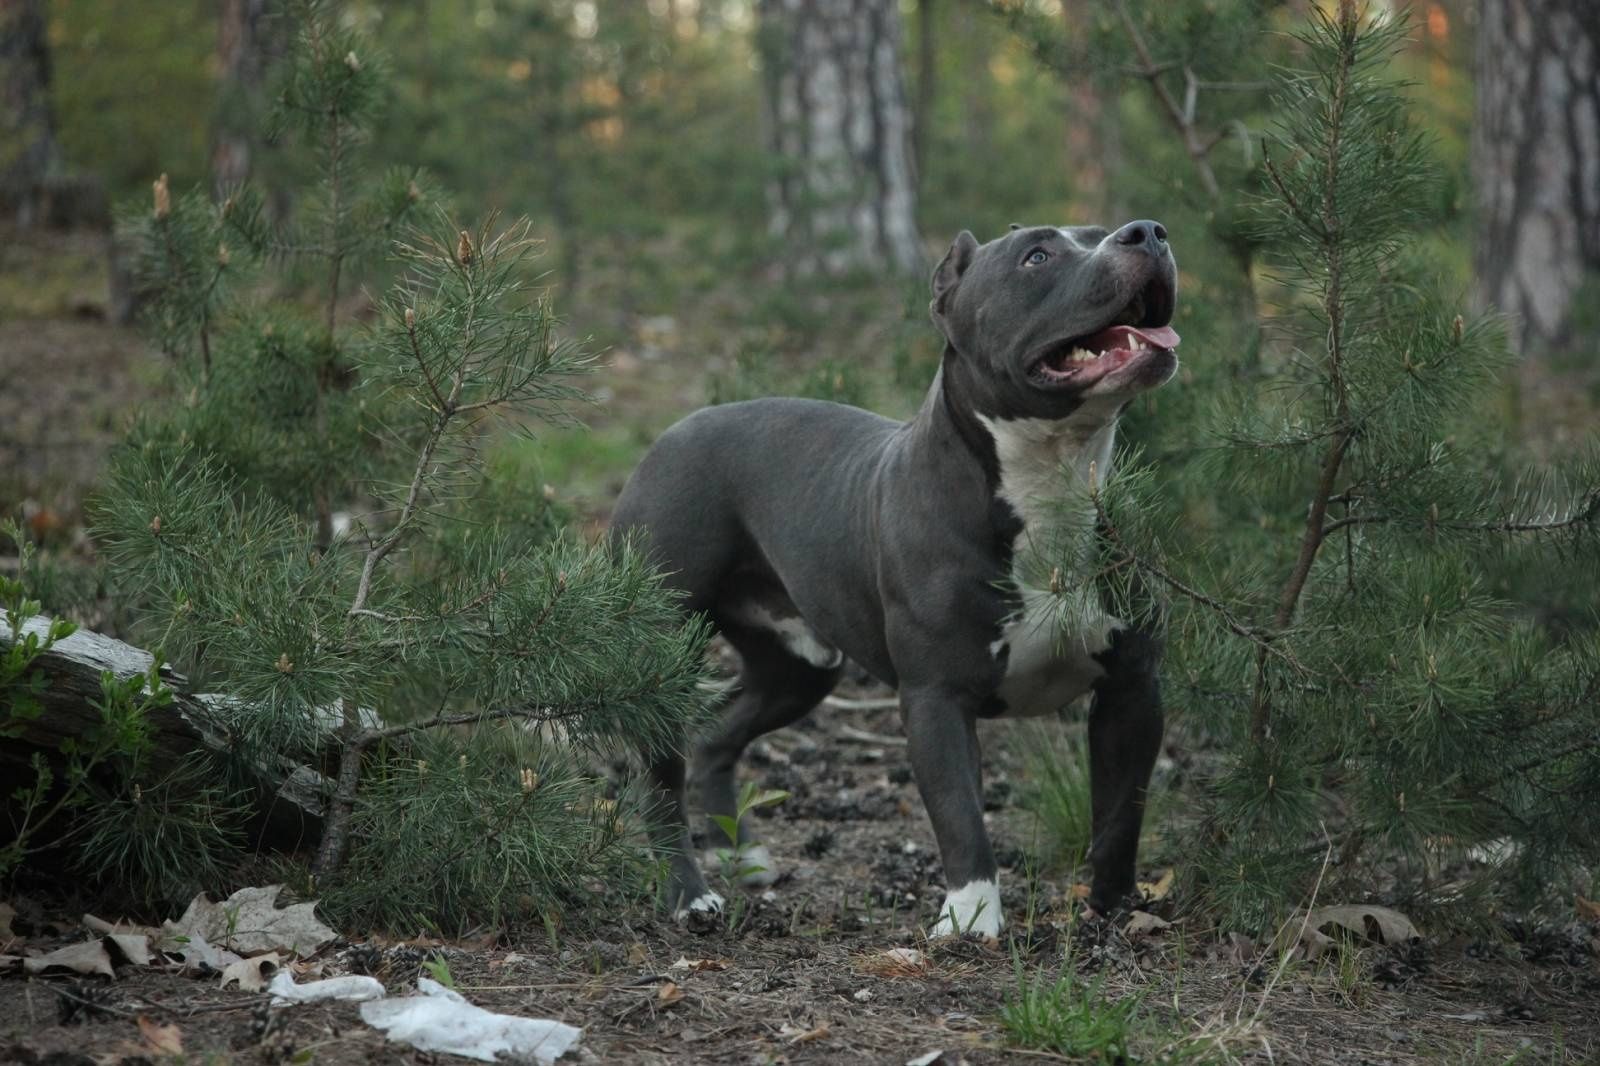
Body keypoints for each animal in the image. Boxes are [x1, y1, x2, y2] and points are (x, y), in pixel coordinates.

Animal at [608, 219, 1177, 934]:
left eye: (1103, 232)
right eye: (1037, 255)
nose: (1148, 232)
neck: (1050, 483)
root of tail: (668, 434)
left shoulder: (1132, 689)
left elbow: (1122, 812)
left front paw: (1114, 910)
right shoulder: (935, 698)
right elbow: (960, 814)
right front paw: (970, 920)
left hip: (798, 668)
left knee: (716, 737)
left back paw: (747, 859)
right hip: (659, 650)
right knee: (660, 781)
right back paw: (690, 894)